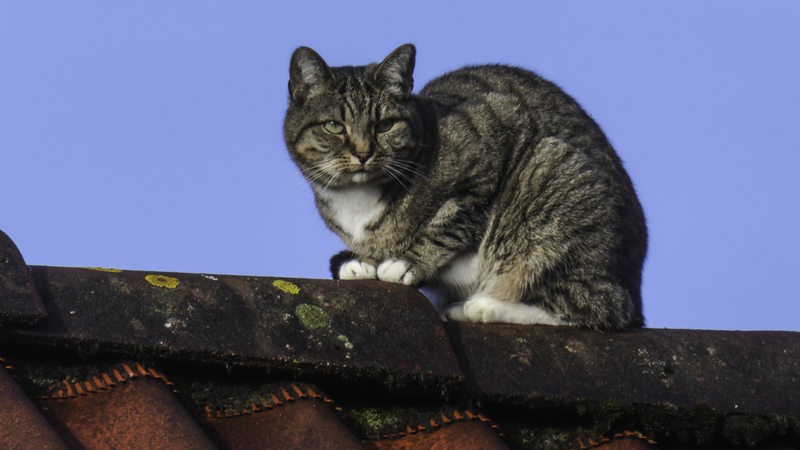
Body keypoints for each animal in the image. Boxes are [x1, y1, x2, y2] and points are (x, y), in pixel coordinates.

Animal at [284, 44, 648, 330]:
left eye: (385, 125)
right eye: (334, 126)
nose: (363, 152)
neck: (357, 201)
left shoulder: (501, 127)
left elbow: (451, 221)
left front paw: (406, 263)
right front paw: (357, 262)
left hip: (551, 172)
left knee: (599, 308)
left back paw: (482, 306)